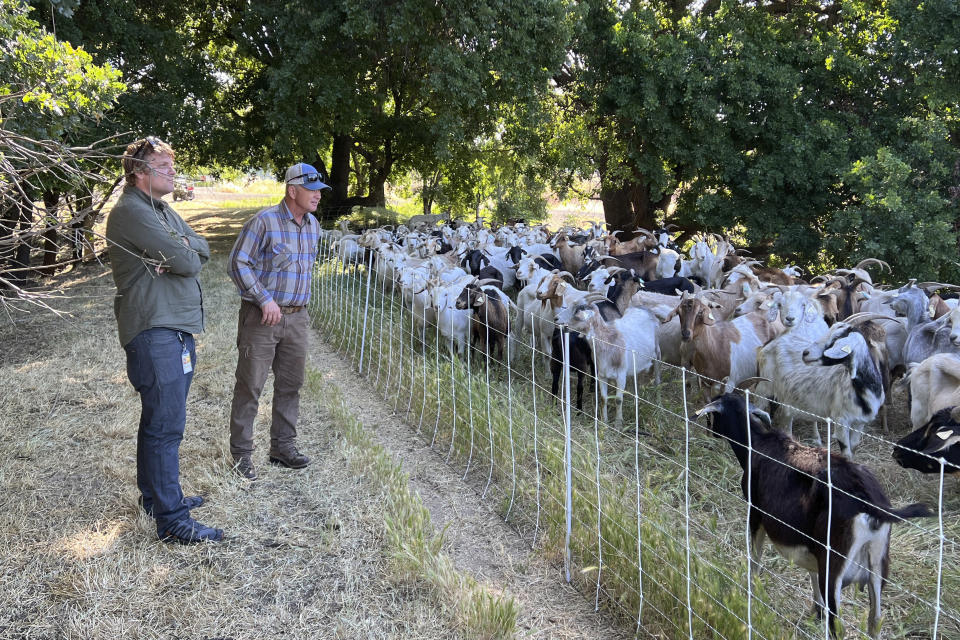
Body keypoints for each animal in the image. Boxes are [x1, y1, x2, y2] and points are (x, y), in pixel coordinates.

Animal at [696, 392, 928, 636]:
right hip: (878, 562)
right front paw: (816, 609)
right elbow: (811, 572)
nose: (710, 431)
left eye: (713, 414)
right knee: (874, 621)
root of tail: (869, 501)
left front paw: (750, 592)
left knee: (838, 626)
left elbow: (755, 558)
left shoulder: (755, 511)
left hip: (834, 565)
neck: (757, 445)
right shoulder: (811, 546)